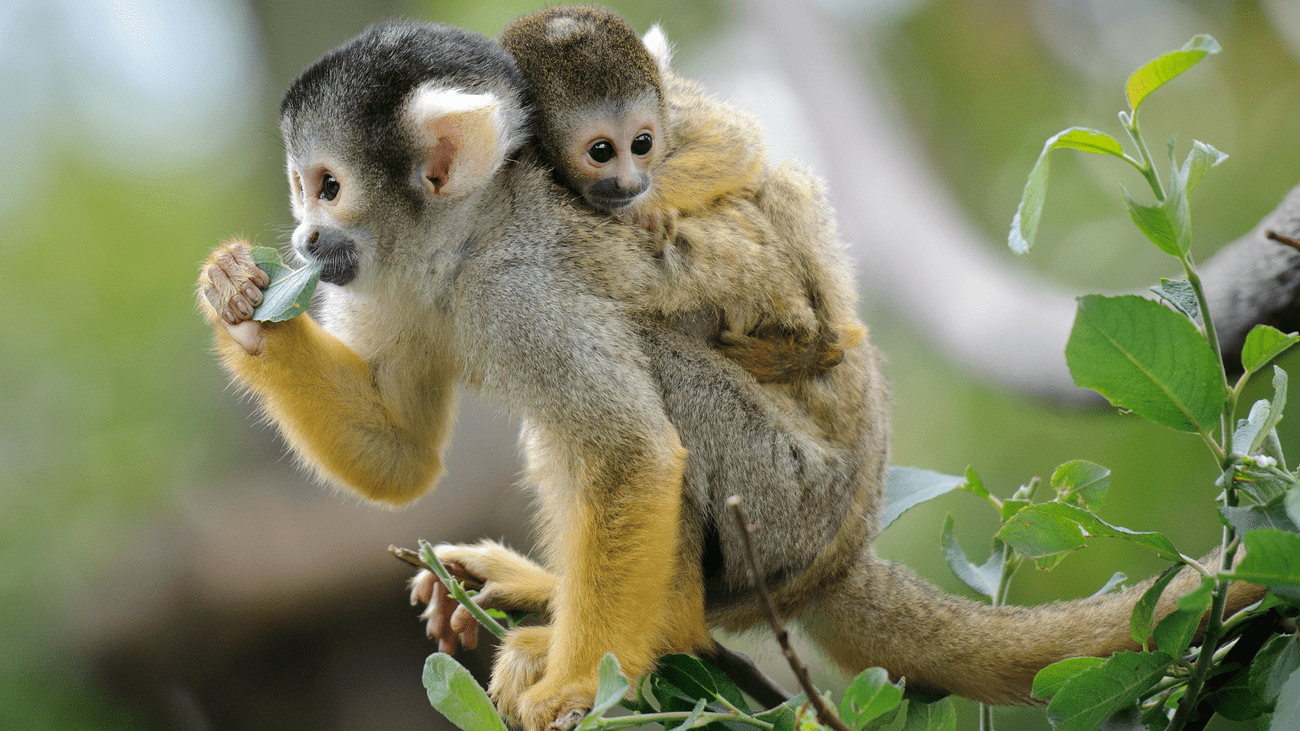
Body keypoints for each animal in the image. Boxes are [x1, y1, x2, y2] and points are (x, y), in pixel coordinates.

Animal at [497, 6, 866, 384]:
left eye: (642, 144)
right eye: (601, 152)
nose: (631, 185)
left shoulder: (673, 108)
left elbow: (737, 144)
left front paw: (649, 208)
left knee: (785, 184)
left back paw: (817, 350)